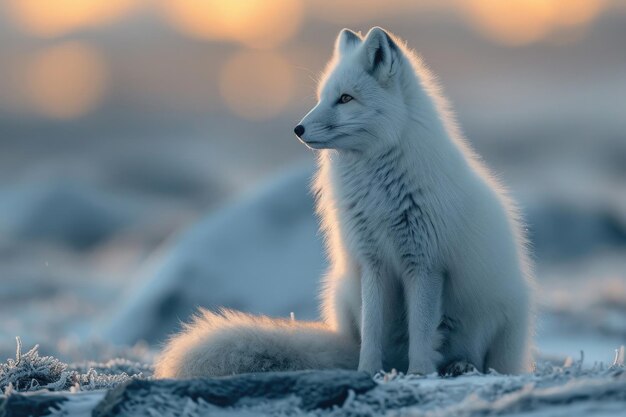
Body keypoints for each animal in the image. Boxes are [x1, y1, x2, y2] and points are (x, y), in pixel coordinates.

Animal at [152, 26, 532, 376]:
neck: (380, 194)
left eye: (346, 99)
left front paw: (419, 374)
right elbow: (373, 332)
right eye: (322, 97)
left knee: (482, 358)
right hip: (342, 290)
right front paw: (368, 372)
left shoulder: (425, 264)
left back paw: (461, 366)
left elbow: (423, 334)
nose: (298, 129)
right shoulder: (372, 262)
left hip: (496, 315)